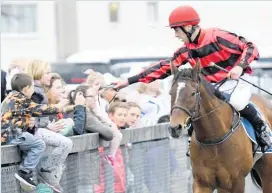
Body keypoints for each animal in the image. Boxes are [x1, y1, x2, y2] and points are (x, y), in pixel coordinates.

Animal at [168, 60, 272, 193]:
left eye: (193, 93)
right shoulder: (202, 182)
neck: (213, 138)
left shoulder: (235, 182)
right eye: (170, 93)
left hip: (267, 172)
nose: (174, 128)